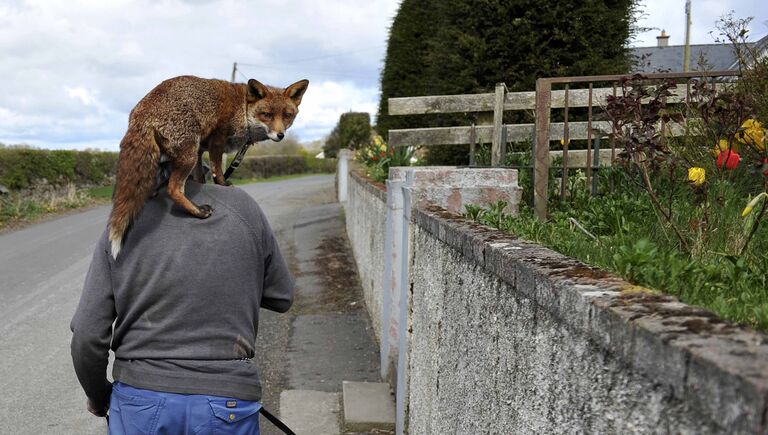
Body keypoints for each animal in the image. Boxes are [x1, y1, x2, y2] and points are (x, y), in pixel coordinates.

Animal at [107, 75, 308, 258]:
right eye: (266, 115)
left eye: (287, 116)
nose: (280, 135)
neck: (242, 108)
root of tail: (141, 112)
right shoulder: (217, 139)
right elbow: (217, 169)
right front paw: (223, 184)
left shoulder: (200, 151)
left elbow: (201, 177)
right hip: (187, 154)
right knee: (173, 189)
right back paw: (198, 212)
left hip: (181, 155)